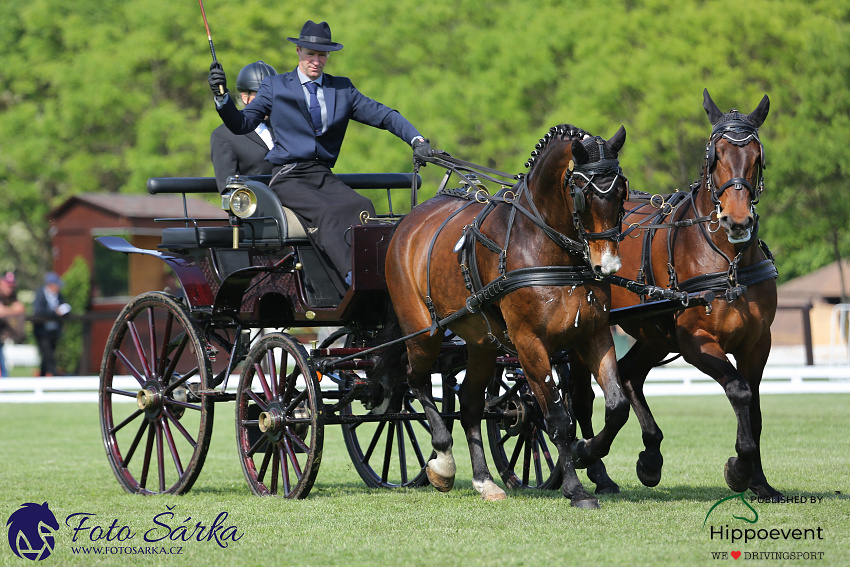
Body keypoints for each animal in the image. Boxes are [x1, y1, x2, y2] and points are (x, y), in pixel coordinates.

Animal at [384, 123, 628, 506]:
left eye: (621, 190)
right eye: (582, 193)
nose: (608, 265)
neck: (544, 244)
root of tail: (409, 222)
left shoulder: (593, 333)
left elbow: (616, 406)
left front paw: (587, 452)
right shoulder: (530, 343)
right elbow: (558, 418)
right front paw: (576, 489)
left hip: (482, 343)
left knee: (469, 402)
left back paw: (484, 481)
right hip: (423, 332)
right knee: (416, 380)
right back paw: (442, 462)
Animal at [568, 87, 780, 496]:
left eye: (757, 157)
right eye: (715, 156)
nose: (737, 220)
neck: (728, 261)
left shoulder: (758, 343)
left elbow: (757, 411)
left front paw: (761, 483)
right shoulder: (696, 341)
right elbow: (739, 391)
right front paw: (739, 469)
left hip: (653, 332)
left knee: (628, 376)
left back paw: (649, 457)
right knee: (581, 398)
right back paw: (591, 462)